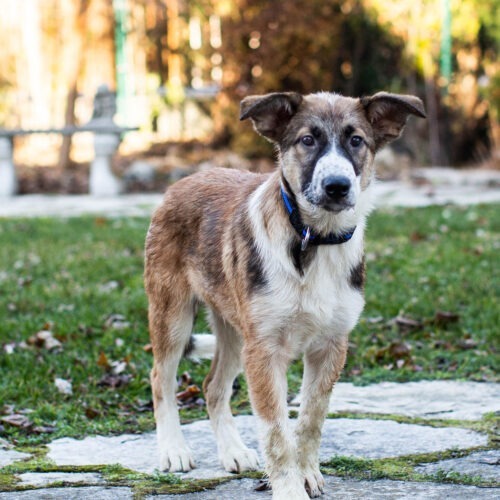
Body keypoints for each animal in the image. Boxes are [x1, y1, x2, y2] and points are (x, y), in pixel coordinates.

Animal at [145, 89, 426, 496]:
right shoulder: (264, 350)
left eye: (357, 140)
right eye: (307, 140)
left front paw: (307, 474)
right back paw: (174, 451)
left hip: (234, 331)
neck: (314, 239)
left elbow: (310, 418)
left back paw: (233, 451)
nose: (337, 186)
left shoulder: (331, 345)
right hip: (173, 315)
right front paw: (290, 490)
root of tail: (183, 181)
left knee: (213, 387)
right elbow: (276, 431)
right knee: (160, 380)